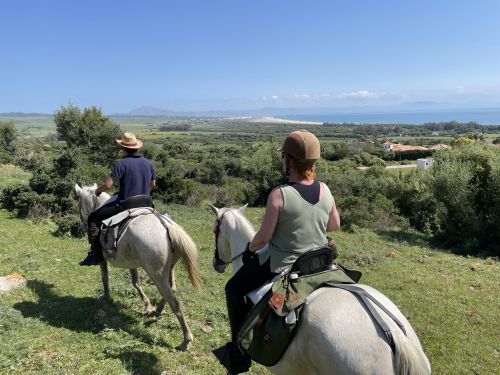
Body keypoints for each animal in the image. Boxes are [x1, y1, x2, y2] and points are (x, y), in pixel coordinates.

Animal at [74, 185, 199, 352]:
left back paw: (186, 339)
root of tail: (166, 225)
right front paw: (147, 306)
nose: (82, 226)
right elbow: (136, 282)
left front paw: (107, 297)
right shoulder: (131, 263)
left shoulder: (103, 259)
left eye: (79, 203)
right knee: (172, 289)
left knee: (174, 302)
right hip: (170, 268)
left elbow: (105, 277)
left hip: (156, 275)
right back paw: (158, 310)